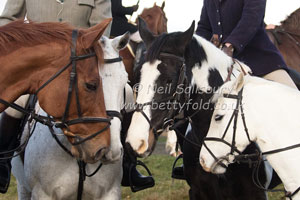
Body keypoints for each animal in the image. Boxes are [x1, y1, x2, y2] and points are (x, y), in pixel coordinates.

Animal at [11, 33, 131, 199]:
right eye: (90, 85)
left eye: (124, 80)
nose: (109, 150)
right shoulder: (42, 194)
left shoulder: (109, 193)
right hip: (23, 187)